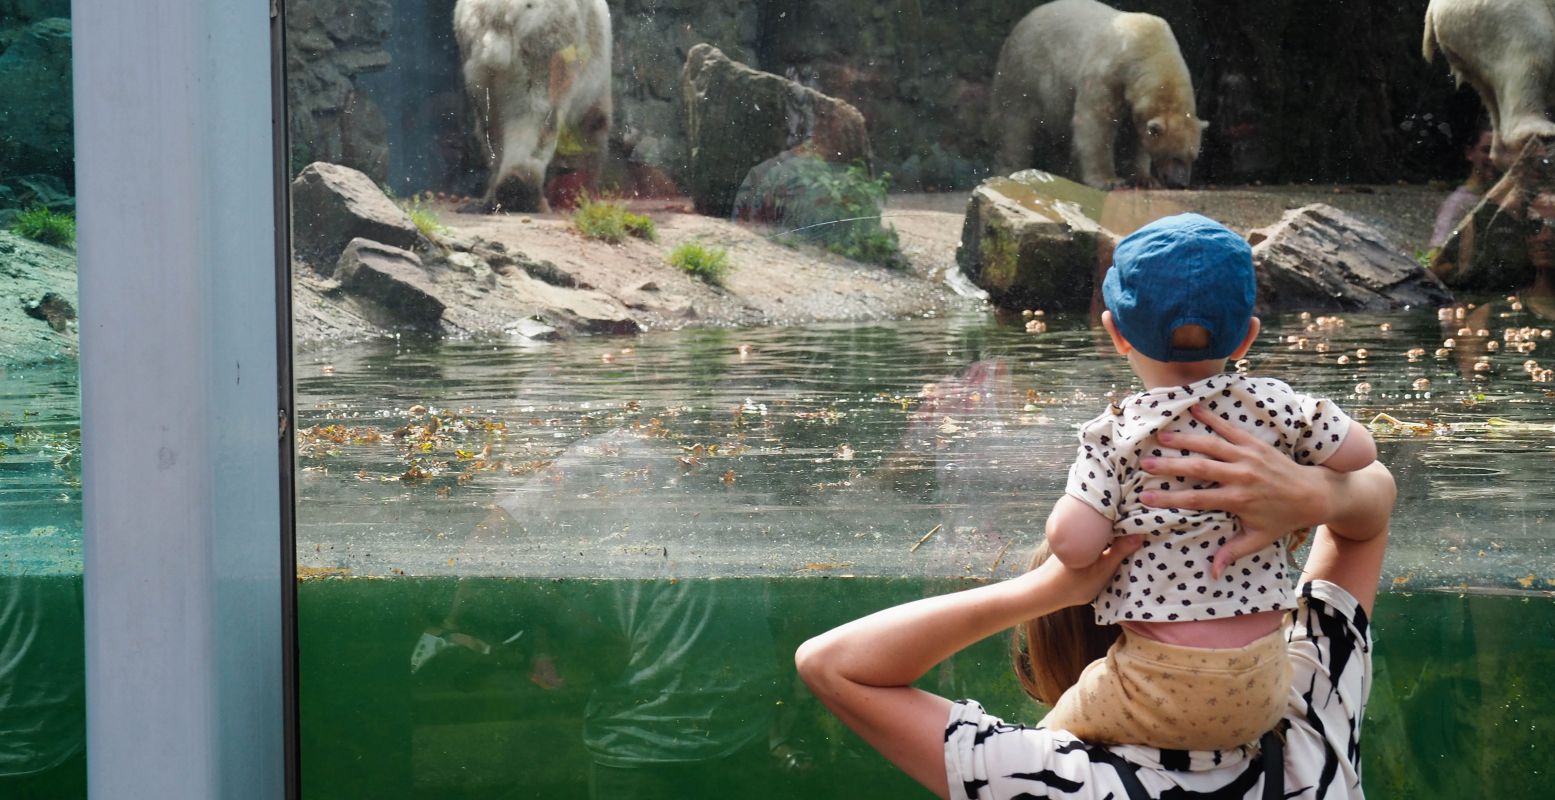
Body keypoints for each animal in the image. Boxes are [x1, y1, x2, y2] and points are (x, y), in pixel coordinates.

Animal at [454, 0, 609, 211]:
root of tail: (498, 14)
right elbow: (594, 129)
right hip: (544, 45)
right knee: (536, 115)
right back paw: (522, 189)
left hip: (474, 58)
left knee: (490, 126)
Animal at [988, 0, 1206, 188]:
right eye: (1175, 156)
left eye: (1193, 157)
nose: (1180, 182)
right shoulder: (1107, 73)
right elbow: (1096, 123)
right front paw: (1108, 180)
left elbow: (1137, 135)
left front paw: (1145, 178)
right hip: (1024, 72)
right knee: (1016, 124)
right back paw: (1012, 169)